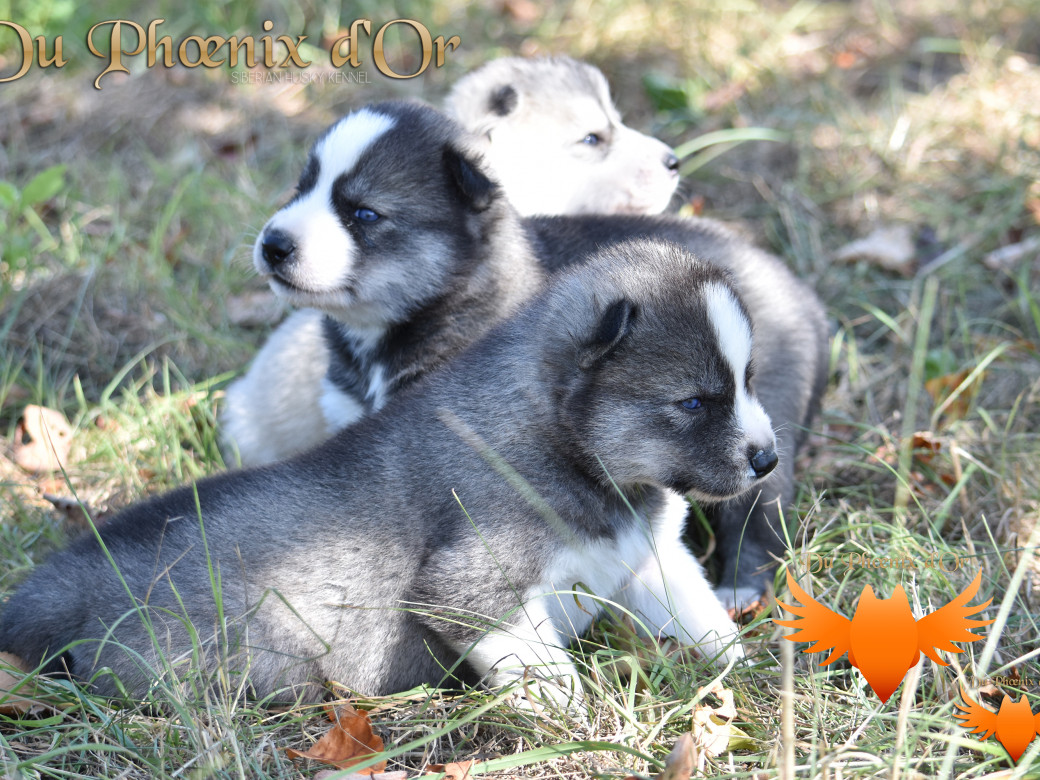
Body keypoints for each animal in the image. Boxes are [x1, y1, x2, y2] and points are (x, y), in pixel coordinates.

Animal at [0, 241, 765, 707]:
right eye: (695, 402)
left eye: (748, 379)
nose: (767, 458)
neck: (569, 445)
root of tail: (60, 583)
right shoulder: (474, 591)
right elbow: (545, 675)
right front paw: (578, 723)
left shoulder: (652, 557)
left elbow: (700, 618)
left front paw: (746, 669)